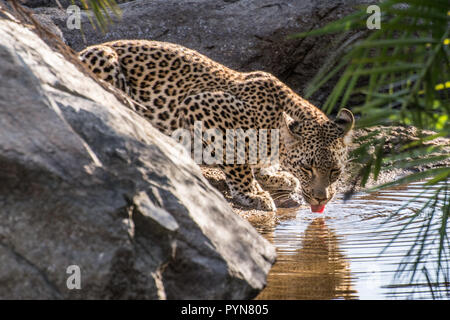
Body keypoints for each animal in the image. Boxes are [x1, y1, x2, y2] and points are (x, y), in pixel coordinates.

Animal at [80, 39, 356, 212]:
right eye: (308, 168)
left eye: (335, 171)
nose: (321, 198)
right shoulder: (200, 106)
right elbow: (237, 160)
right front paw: (253, 193)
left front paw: (277, 176)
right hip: (104, 58)